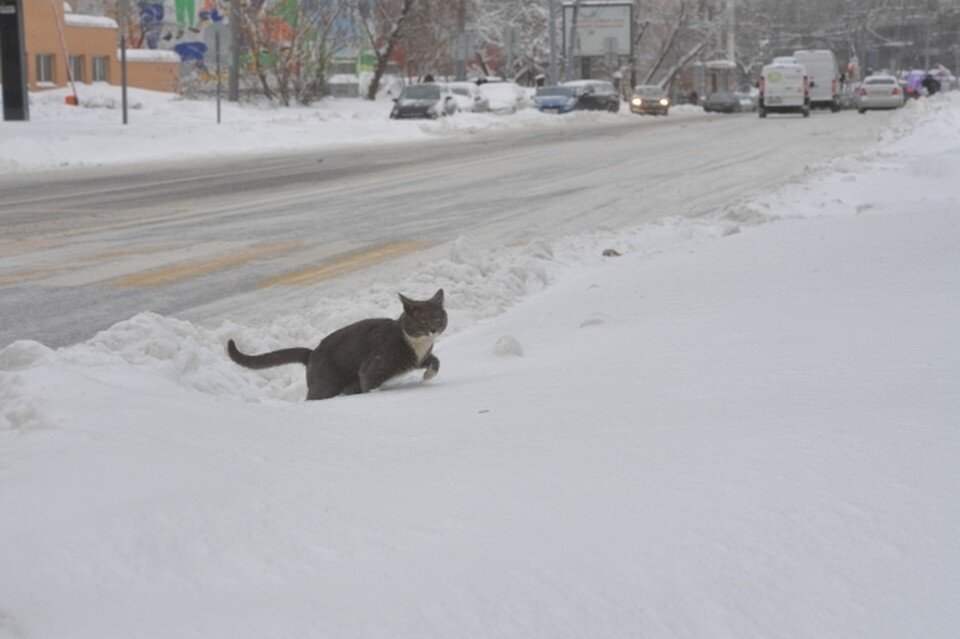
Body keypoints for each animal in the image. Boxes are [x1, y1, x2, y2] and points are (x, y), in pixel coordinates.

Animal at [227, 290, 448, 400]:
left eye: (438, 318)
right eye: (422, 321)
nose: (433, 329)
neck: (417, 344)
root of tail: (311, 353)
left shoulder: (420, 357)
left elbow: (436, 361)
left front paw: (428, 375)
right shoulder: (372, 368)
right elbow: (371, 385)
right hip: (326, 385)